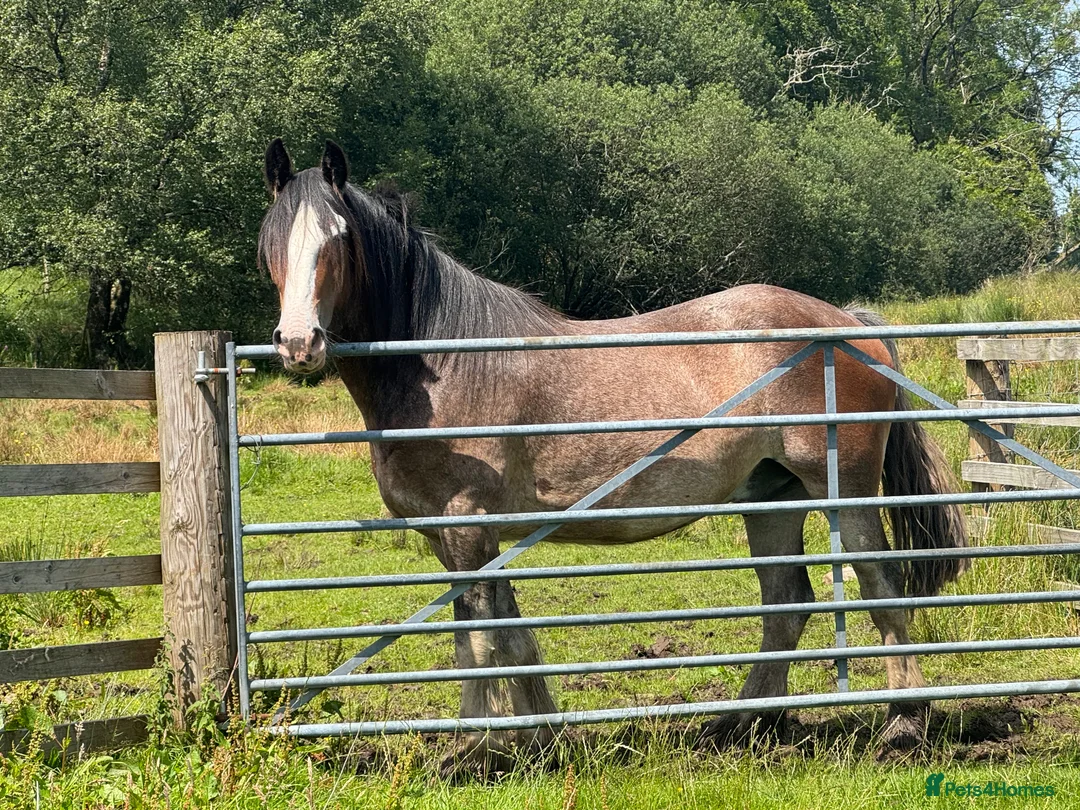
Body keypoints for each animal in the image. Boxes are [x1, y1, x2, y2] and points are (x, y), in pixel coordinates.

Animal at [258, 139, 967, 772]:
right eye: (271, 240)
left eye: (337, 239)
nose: (298, 344)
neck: (447, 364)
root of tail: (849, 325)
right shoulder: (472, 537)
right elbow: (512, 636)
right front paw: (541, 740)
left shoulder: (466, 530)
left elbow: (477, 641)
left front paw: (471, 750)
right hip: (773, 496)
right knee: (786, 604)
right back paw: (741, 725)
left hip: (843, 488)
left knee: (882, 588)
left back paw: (903, 728)